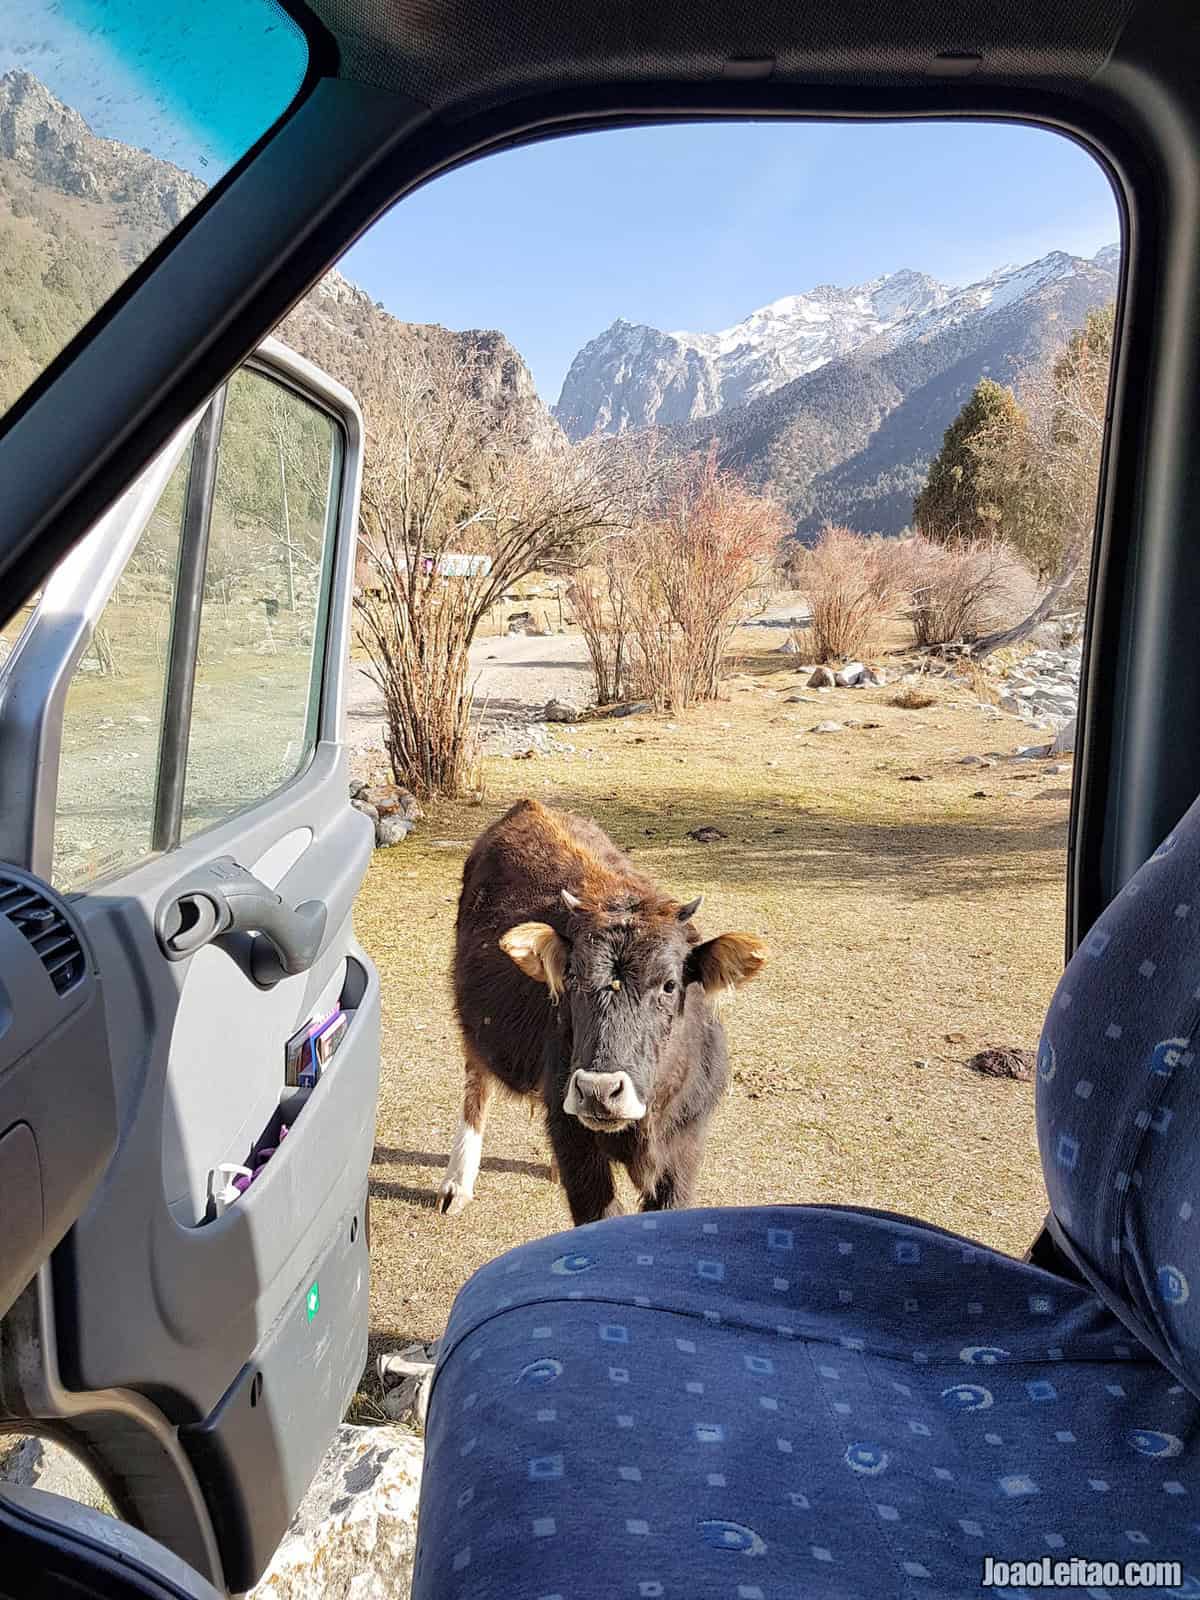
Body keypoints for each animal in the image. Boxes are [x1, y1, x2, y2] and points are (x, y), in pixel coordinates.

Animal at [441, 800, 771, 1222]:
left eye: (669, 984)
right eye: (573, 977)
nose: (597, 1091)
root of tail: (529, 806)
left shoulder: (685, 1147)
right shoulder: (578, 1150)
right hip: (471, 1026)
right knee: (476, 1085)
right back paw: (457, 1183)